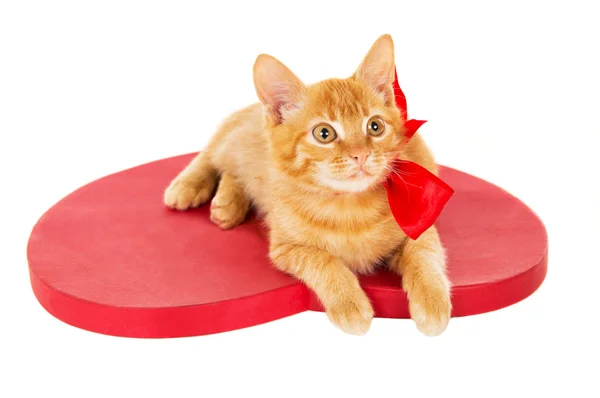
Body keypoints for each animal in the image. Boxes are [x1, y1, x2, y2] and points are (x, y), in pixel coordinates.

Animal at [163, 34, 450, 336]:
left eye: (375, 126)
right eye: (324, 133)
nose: (361, 154)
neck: (348, 208)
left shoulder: (420, 224)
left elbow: (423, 255)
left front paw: (432, 300)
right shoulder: (285, 248)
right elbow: (323, 261)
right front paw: (349, 303)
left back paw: (227, 203)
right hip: (235, 139)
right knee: (214, 153)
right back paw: (189, 187)